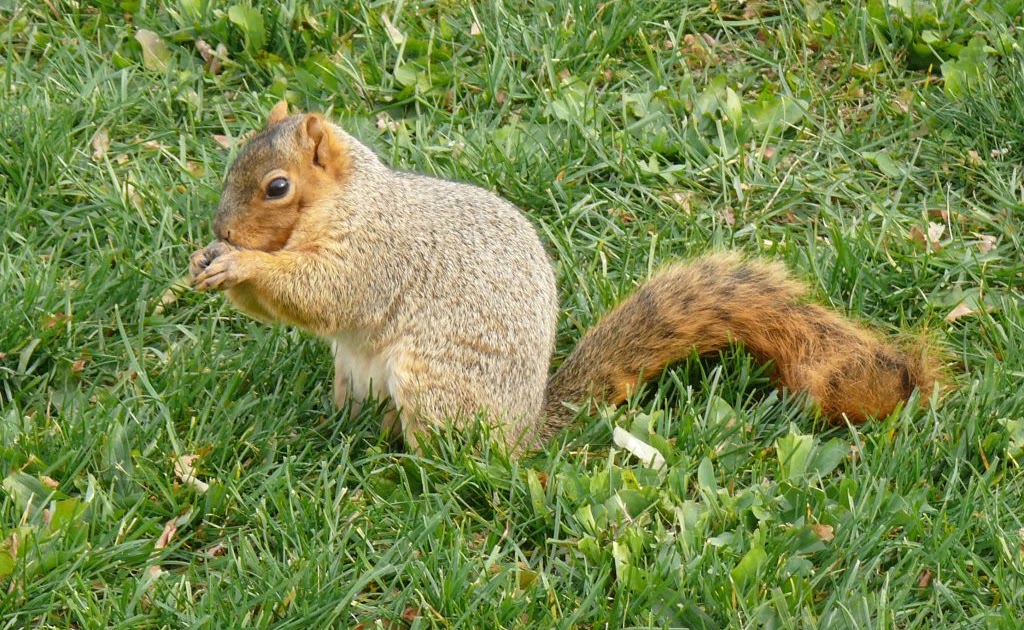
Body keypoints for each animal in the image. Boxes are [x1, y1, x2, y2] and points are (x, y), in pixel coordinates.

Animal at [189, 102, 938, 453]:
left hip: (435, 385)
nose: (224, 229)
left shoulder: (378, 251)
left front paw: (243, 262)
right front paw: (208, 262)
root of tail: (523, 430)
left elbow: (325, 293)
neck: (349, 200)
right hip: (354, 374)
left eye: (277, 187)